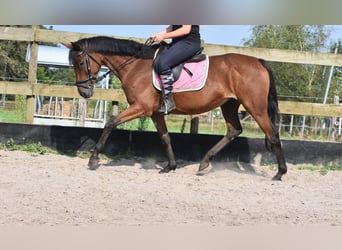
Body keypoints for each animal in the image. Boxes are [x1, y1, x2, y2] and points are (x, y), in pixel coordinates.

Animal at [63, 35, 286, 180]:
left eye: (80, 62)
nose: (84, 92)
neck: (136, 66)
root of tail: (258, 61)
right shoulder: (155, 113)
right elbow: (165, 137)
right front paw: (170, 166)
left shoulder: (141, 107)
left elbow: (110, 123)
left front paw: (93, 160)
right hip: (229, 105)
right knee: (234, 130)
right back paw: (204, 162)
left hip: (255, 107)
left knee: (272, 133)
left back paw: (280, 173)